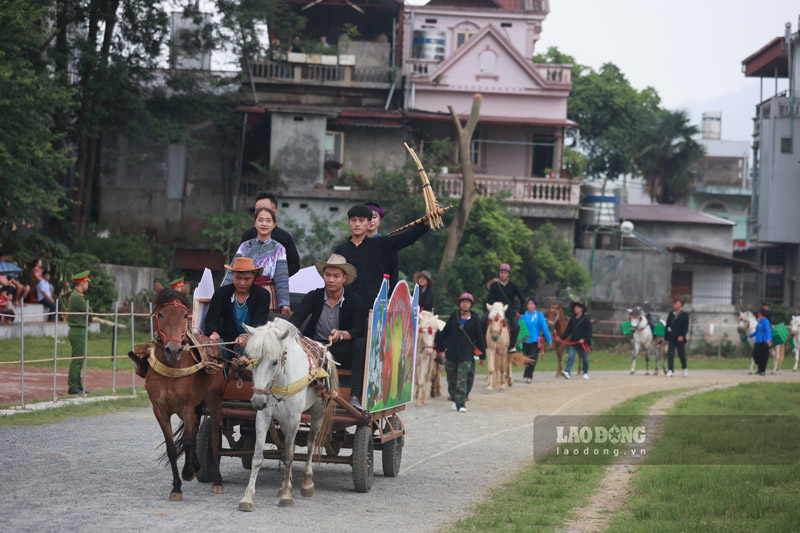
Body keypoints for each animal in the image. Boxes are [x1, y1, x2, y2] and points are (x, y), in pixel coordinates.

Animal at [128, 280, 227, 500]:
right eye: (161, 315)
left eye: (184, 315)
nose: (173, 350)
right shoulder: (160, 409)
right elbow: (172, 447)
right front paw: (176, 486)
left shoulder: (187, 406)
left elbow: (189, 441)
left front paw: (189, 470)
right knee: (197, 427)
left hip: (213, 400)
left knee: (214, 437)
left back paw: (216, 480)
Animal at [238, 318, 338, 510]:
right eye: (253, 360)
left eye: (275, 362)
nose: (257, 400)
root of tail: (325, 350)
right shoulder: (263, 416)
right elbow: (258, 457)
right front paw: (247, 497)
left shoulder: (294, 419)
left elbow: (290, 456)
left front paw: (286, 496)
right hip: (284, 421)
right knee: (287, 446)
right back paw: (287, 483)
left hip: (318, 411)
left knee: (310, 443)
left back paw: (306, 481)